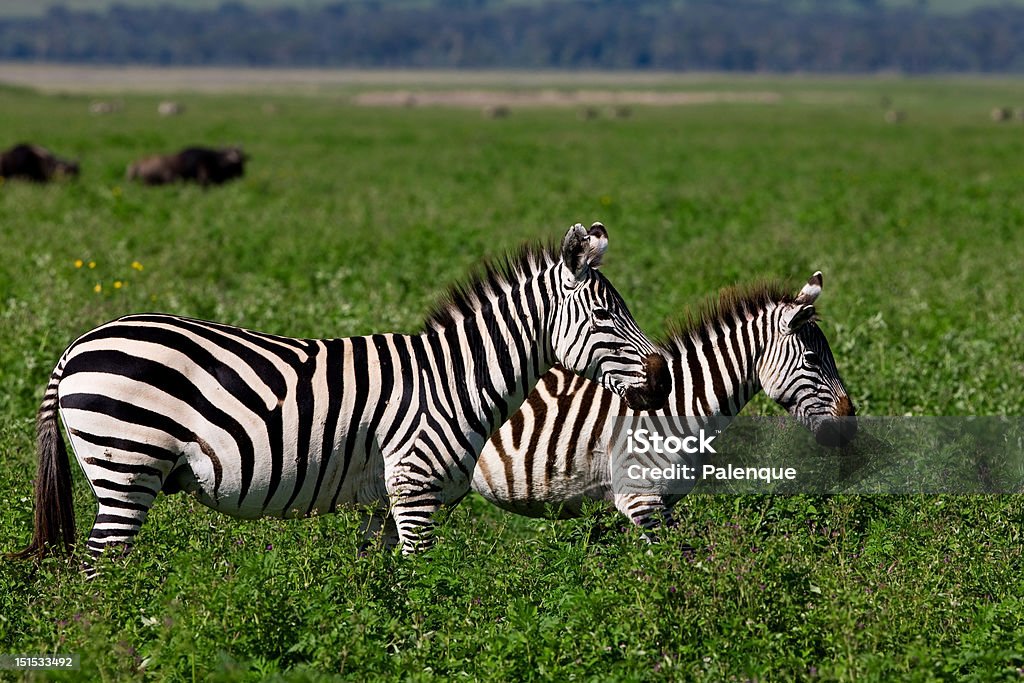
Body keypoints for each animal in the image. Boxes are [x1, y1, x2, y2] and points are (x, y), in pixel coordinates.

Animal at [14, 222, 671, 565]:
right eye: (606, 317)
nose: (663, 380)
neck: (456, 377)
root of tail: (75, 347)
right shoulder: (414, 488)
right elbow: (423, 586)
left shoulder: (380, 503)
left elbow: (379, 592)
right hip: (125, 466)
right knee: (100, 575)